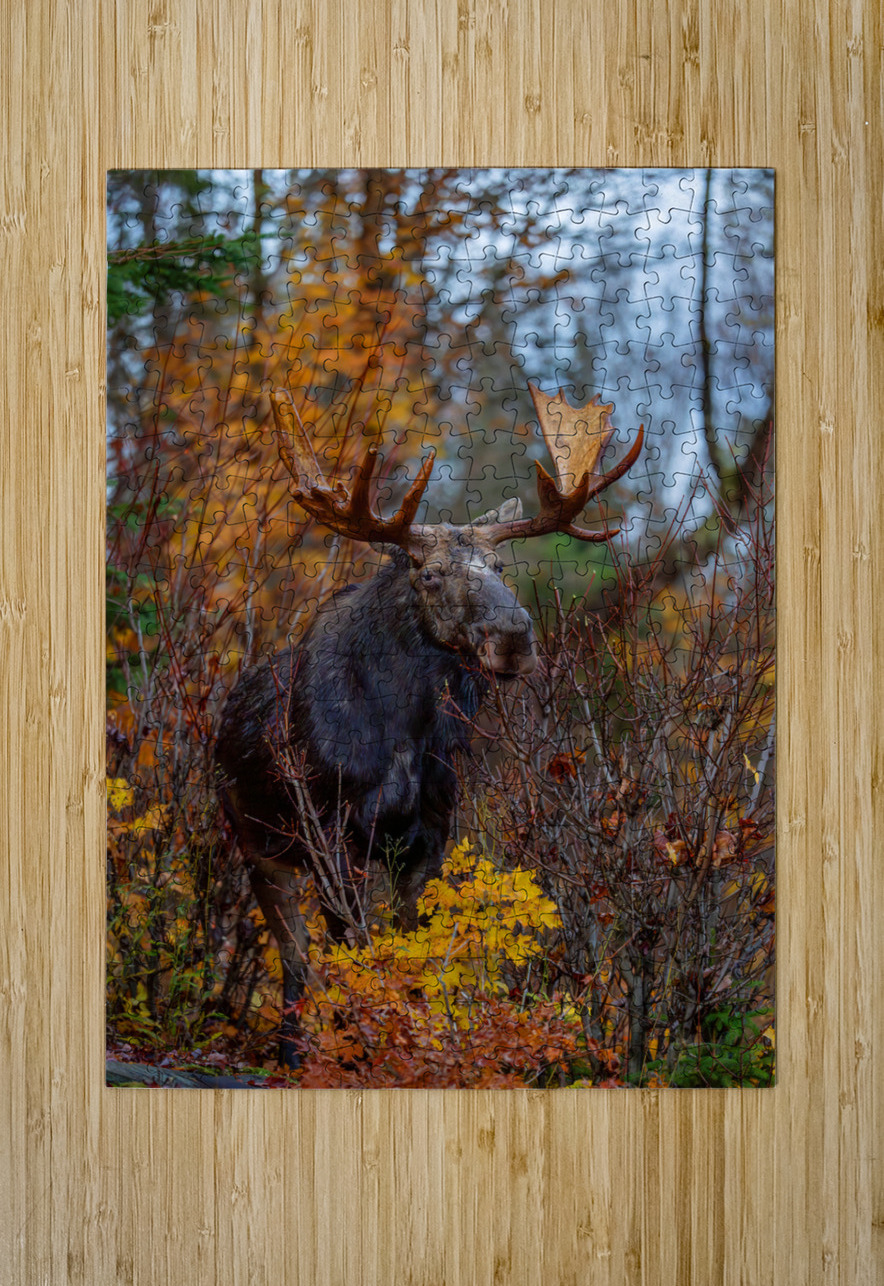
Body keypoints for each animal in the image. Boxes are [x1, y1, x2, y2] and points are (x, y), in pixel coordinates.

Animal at [214, 384, 643, 1066]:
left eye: (500, 564)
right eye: (431, 574)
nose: (513, 637)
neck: (404, 731)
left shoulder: (431, 835)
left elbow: (410, 956)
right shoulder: (332, 836)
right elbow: (354, 952)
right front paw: (357, 1053)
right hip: (256, 843)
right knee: (296, 954)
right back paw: (289, 1054)